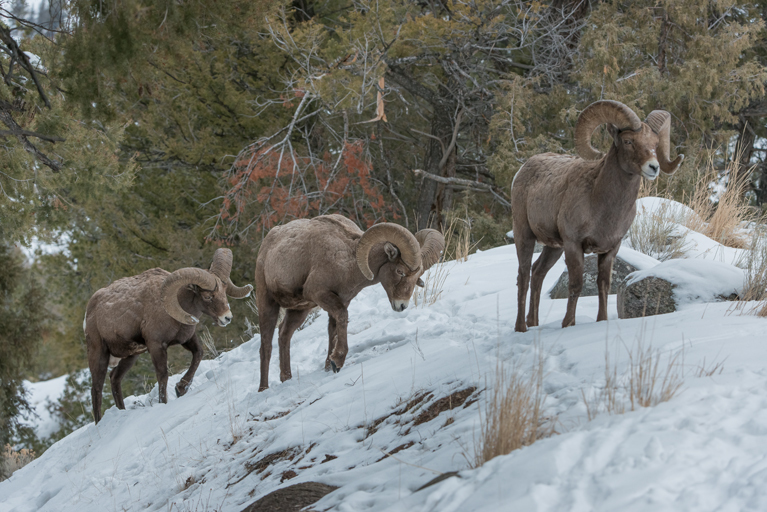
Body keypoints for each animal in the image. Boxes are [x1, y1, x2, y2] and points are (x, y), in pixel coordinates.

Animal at [84, 249, 254, 424]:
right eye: (207, 296)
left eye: (224, 291)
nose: (227, 318)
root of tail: (90, 309)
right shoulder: (156, 346)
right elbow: (162, 375)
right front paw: (163, 403)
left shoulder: (187, 339)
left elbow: (198, 354)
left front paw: (181, 389)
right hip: (99, 353)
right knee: (96, 389)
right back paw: (99, 424)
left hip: (131, 356)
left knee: (114, 378)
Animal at [255, 214, 444, 390]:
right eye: (400, 271)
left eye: (416, 277)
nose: (401, 305)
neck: (348, 260)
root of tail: (266, 243)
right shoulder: (319, 294)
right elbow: (342, 318)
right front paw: (338, 361)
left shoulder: (341, 300)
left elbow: (334, 330)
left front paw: (329, 365)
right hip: (268, 303)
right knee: (266, 345)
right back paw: (263, 388)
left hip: (300, 310)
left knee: (284, 334)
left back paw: (286, 378)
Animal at [516, 100, 684, 332]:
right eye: (628, 141)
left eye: (655, 142)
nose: (653, 167)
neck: (601, 204)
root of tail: (524, 168)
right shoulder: (574, 245)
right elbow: (576, 285)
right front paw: (568, 325)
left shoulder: (610, 249)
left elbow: (603, 286)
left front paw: (601, 321)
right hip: (524, 235)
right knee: (523, 275)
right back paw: (521, 328)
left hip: (553, 247)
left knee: (537, 272)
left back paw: (533, 324)